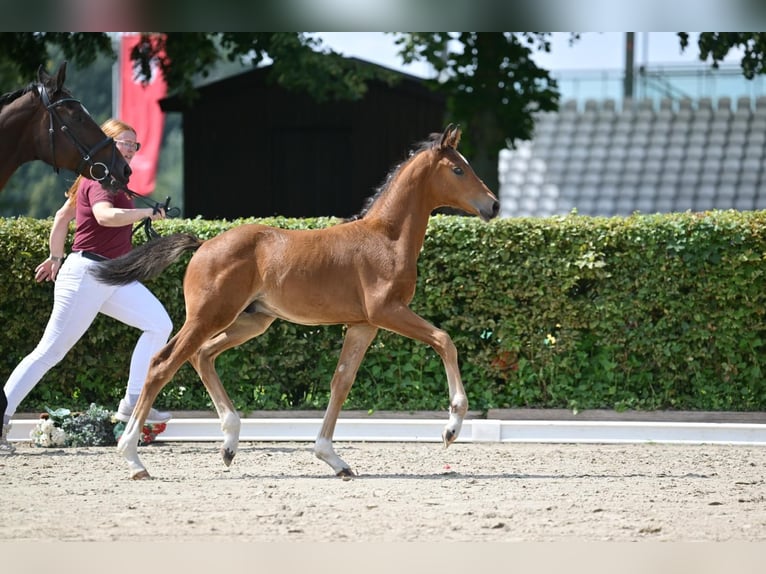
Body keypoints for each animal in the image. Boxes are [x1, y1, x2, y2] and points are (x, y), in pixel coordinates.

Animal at [93, 124, 499, 479]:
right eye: (459, 169)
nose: (493, 206)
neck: (386, 238)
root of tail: (204, 243)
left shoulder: (363, 324)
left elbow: (342, 381)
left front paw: (331, 457)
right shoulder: (387, 311)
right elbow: (444, 340)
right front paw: (452, 426)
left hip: (250, 321)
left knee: (202, 356)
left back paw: (229, 443)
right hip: (209, 316)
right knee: (163, 364)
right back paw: (134, 458)